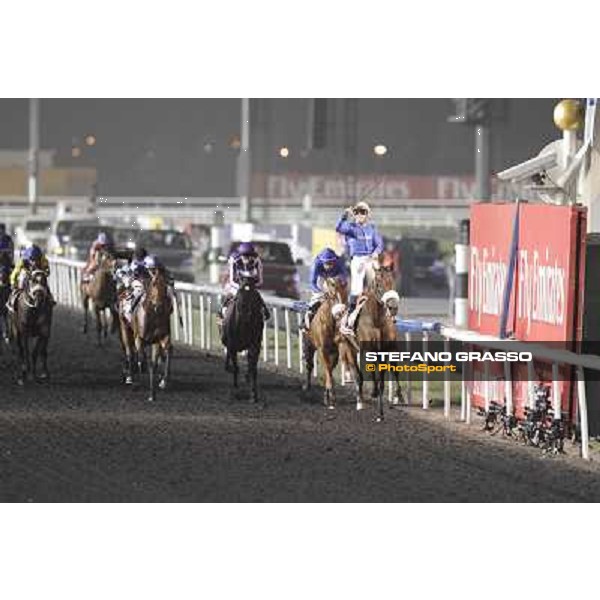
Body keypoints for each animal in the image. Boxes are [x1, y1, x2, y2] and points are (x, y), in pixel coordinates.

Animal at [130, 268, 170, 400]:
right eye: (153, 284)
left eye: (165, 285)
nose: (159, 306)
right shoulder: (140, 338)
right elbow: (142, 359)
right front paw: (143, 387)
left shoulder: (158, 339)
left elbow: (156, 362)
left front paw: (157, 389)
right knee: (139, 356)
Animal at [302, 276, 350, 408]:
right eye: (333, 296)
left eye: (346, 295)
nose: (341, 312)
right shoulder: (321, 349)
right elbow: (327, 369)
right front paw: (329, 396)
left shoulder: (335, 351)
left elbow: (330, 369)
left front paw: (329, 395)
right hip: (309, 345)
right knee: (309, 365)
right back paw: (306, 387)